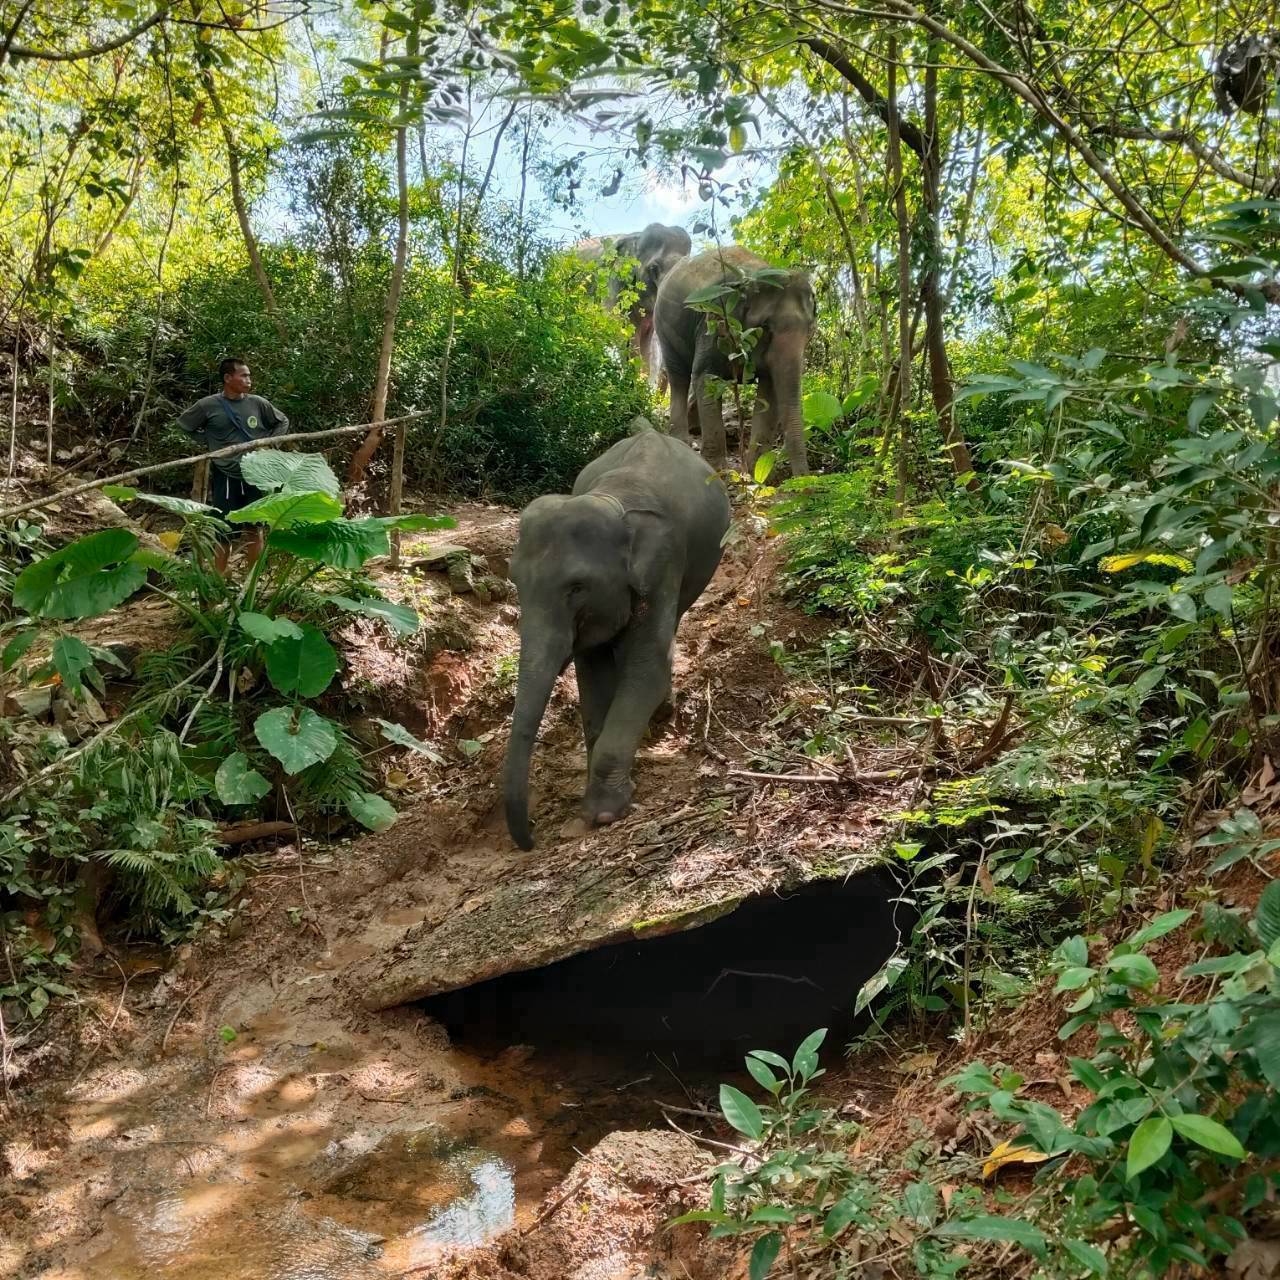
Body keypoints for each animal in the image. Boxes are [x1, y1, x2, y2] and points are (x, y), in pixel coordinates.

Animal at [503, 424, 730, 851]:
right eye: (515, 582)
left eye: (576, 588)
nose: (530, 839)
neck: (613, 498)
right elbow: (592, 676)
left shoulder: (663, 563)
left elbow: (646, 670)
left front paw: (603, 815)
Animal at [654, 246, 816, 477]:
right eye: (765, 327)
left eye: (810, 329)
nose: (804, 480)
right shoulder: (714, 321)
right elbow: (707, 377)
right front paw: (719, 470)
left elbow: (770, 391)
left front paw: (757, 472)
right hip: (665, 328)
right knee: (679, 378)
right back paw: (682, 441)